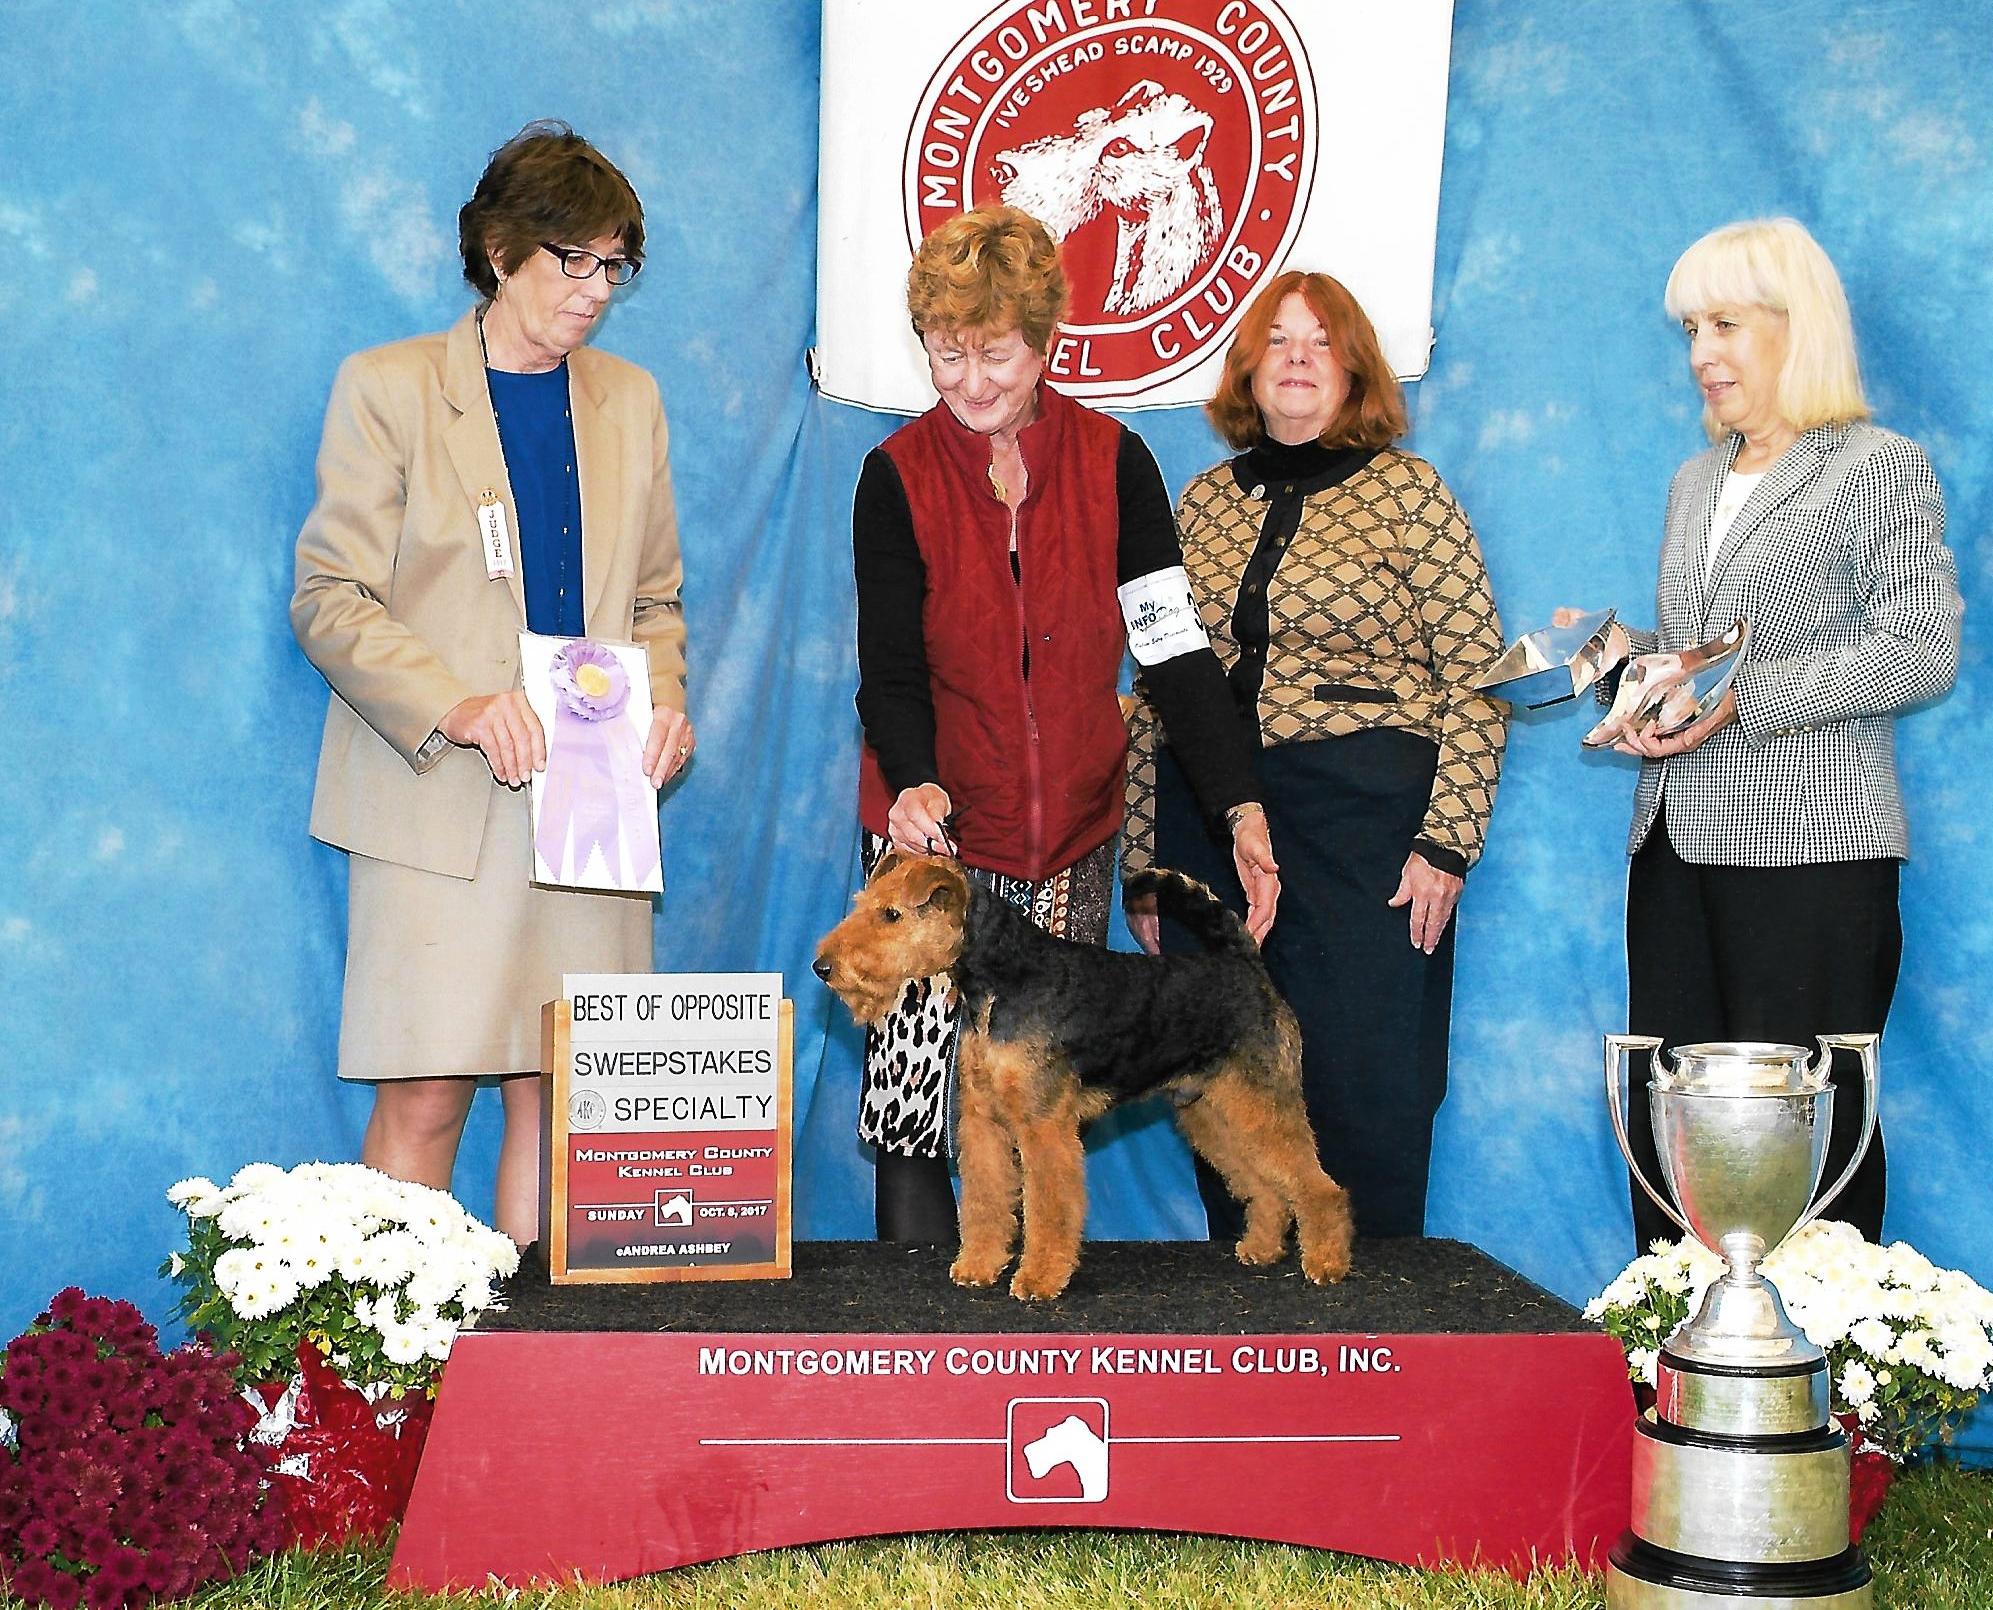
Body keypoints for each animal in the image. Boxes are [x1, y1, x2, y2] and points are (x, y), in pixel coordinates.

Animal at [813, 856, 1355, 1299]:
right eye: (866, 906)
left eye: (891, 915)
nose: (823, 967)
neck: (1002, 978)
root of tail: (1245, 963)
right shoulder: (984, 1122)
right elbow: (987, 1200)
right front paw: (977, 1267)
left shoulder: (1043, 1125)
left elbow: (1049, 1206)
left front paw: (1037, 1279)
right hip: (1210, 1109)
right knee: (1266, 1186)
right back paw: (1261, 1249)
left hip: (1259, 1101)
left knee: (1318, 1186)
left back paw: (1326, 1263)